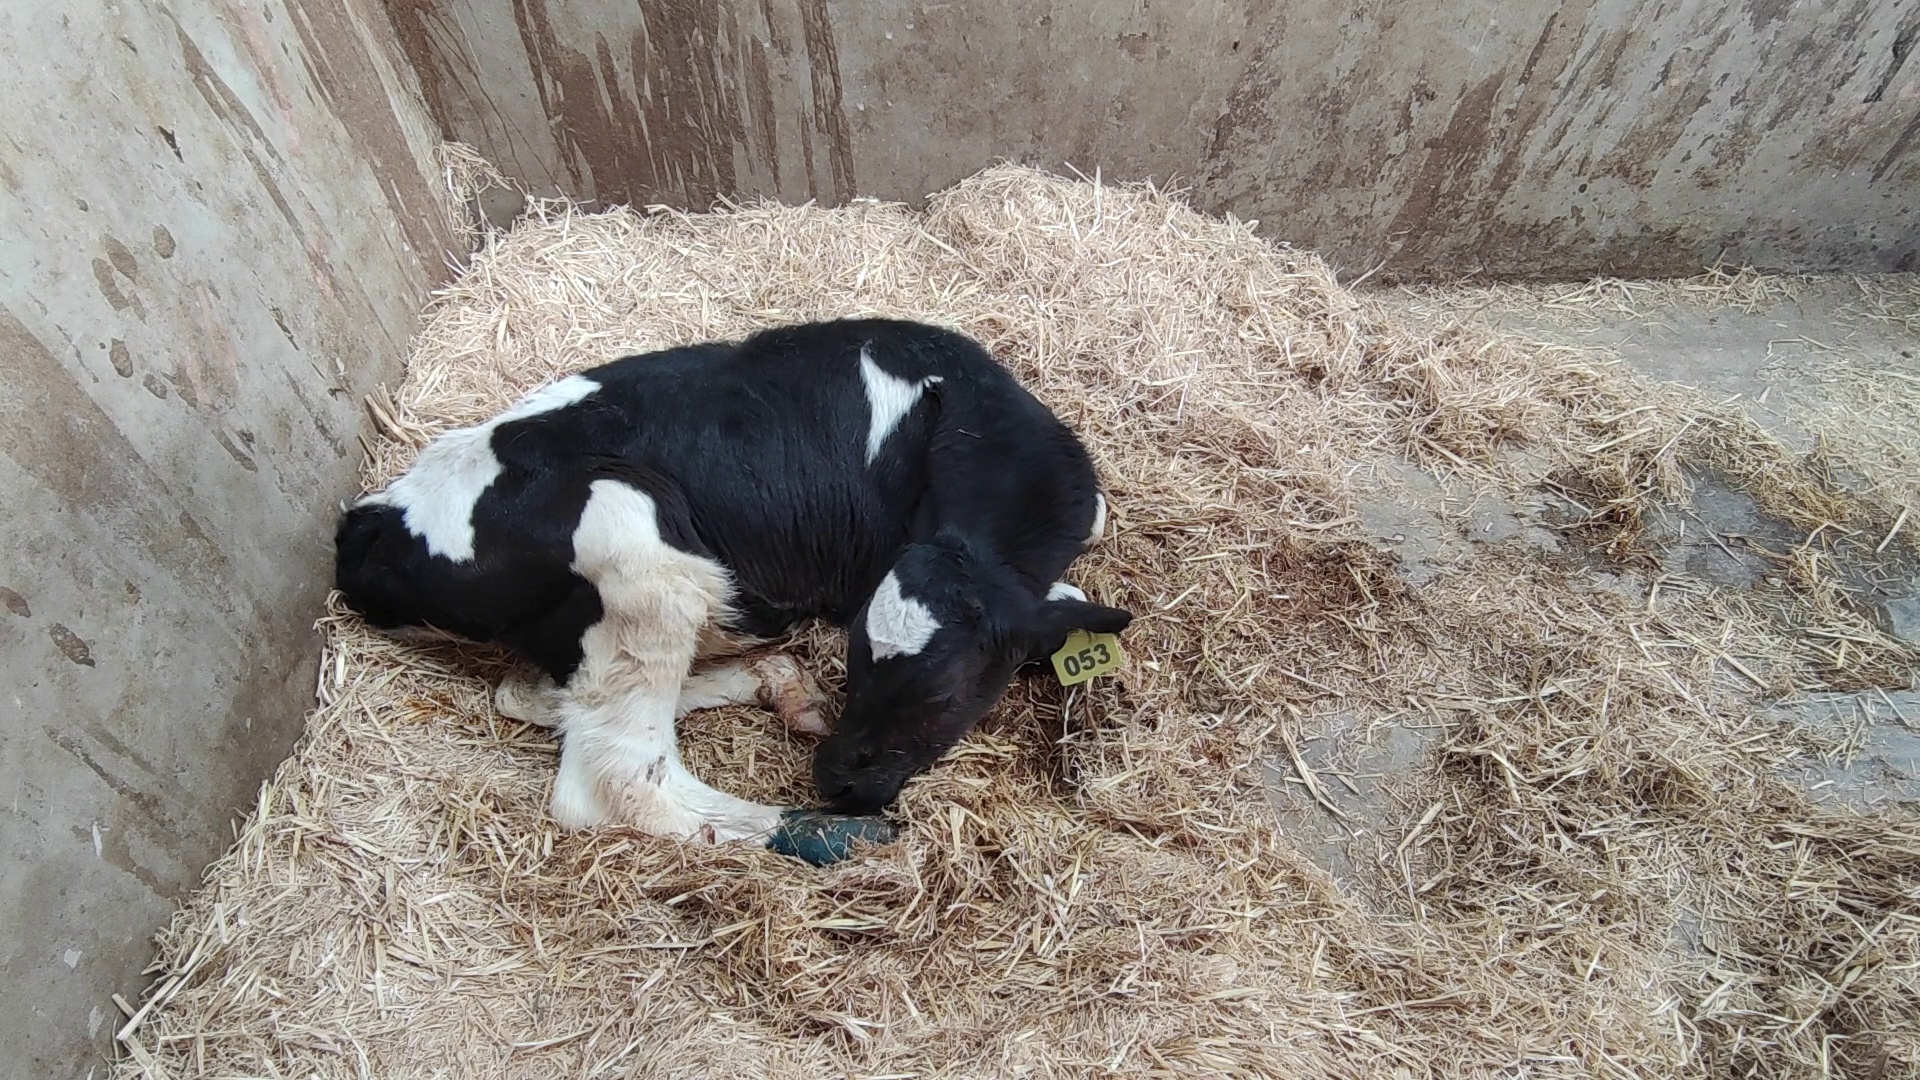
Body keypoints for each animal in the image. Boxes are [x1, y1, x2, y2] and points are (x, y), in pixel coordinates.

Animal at [333, 318, 1132, 864]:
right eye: (857, 658)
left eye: (938, 692)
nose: (834, 779)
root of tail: (373, 525)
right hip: (640, 551)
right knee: (620, 780)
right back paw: (832, 834)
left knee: (531, 695)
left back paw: (775, 683)